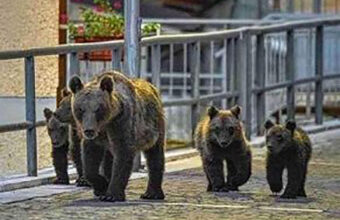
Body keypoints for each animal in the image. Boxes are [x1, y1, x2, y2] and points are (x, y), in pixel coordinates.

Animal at [68, 71, 165, 202]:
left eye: (97, 108)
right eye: (80, 109)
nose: (89, 130)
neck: (106, 121)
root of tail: (151, 86)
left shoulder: (121, 123)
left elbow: (123, 153)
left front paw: (111, 195)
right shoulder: (98, 135)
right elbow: (90, 160)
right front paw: (102, 187)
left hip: (154, 125)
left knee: (155, 153)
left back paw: (152, 193)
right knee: (109, 158)